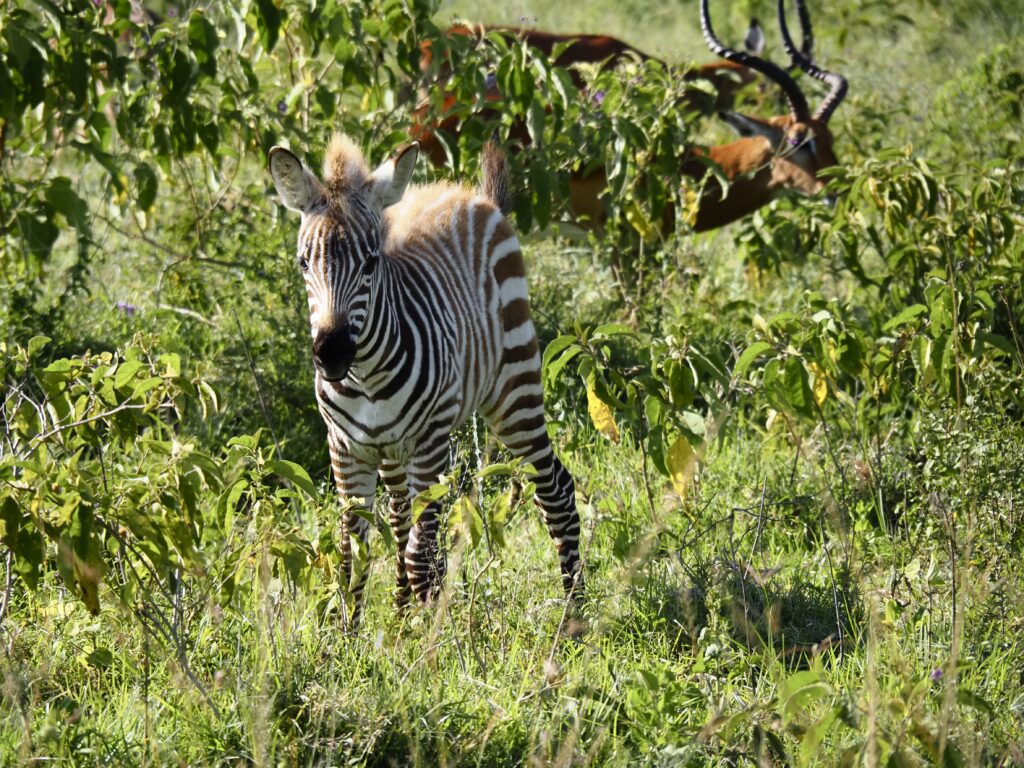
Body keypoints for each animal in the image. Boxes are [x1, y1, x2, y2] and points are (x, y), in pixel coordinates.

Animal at [268, 135, 581, 626]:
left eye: (370, 263)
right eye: (303, 264)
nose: (331, 354)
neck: (365, 378)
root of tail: (472, 195)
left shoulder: (429, 442)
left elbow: (424, 557)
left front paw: (434, 642)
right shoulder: (345, 448)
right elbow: (351, 554)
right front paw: (349, 639)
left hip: (515, 392)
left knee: (556, 491)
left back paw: (574, 618)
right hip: (392, 450)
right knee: (399, 519)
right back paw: (399, 616)